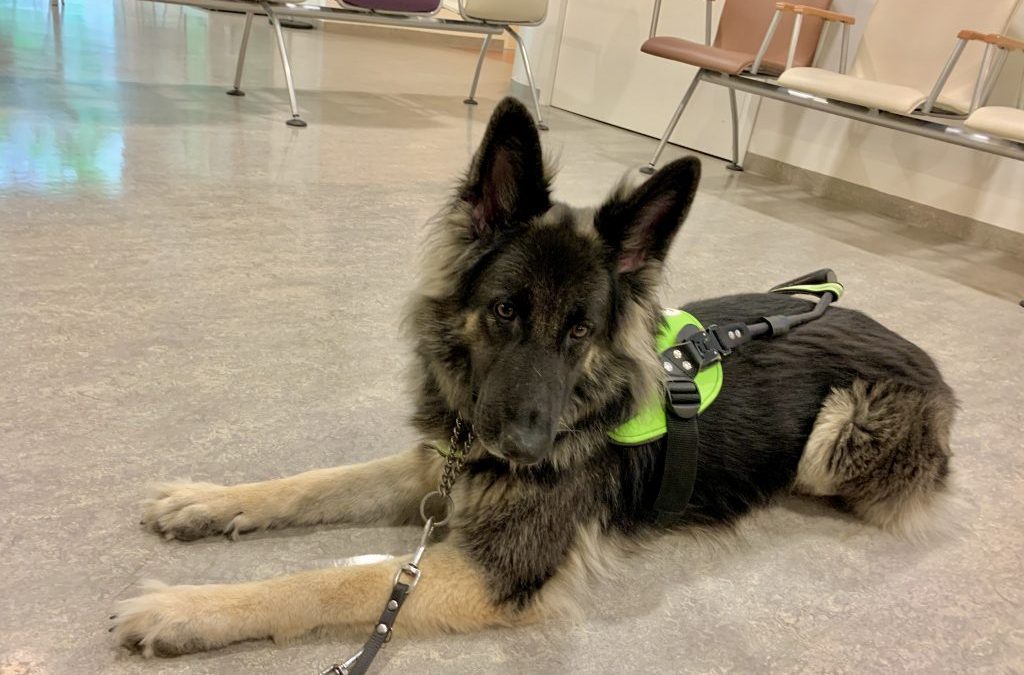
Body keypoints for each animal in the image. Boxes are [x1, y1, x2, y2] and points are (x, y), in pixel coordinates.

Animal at [116, 97, 954, 655]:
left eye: (579, 330)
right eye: (505, 310)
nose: (524, 447)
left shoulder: (495, 572)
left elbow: (336, 580)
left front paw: (186, 609)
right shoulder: (435, 467)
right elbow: (314, 481)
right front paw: (208, 501)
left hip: (836, 438)